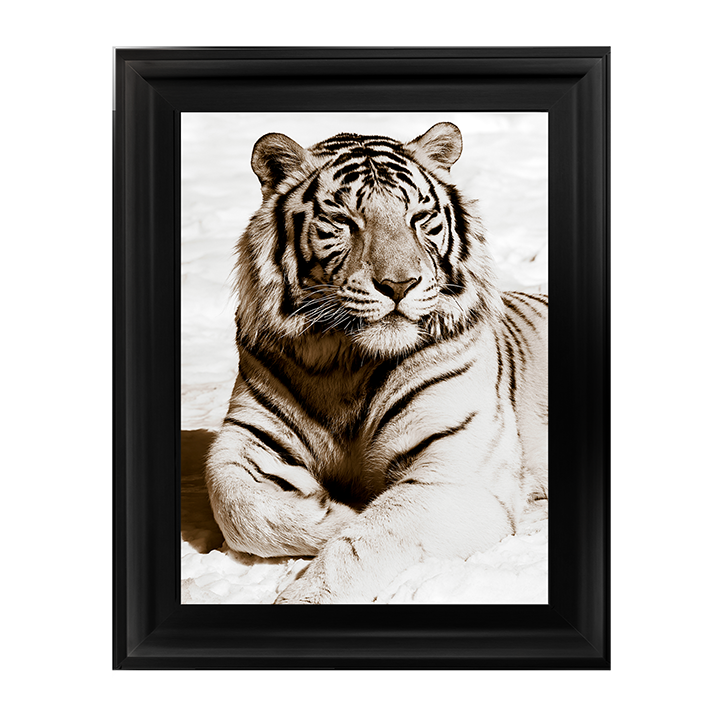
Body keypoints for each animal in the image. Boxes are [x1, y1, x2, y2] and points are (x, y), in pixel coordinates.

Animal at [205, 122, 548, 604]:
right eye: (344, 222)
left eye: (419, 218)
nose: (399, 285)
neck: (345, 361)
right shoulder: (248, 437)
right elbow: (236, 506)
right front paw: (336, 510)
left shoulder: (456, 473)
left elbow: (369, 540)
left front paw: (310, 589)